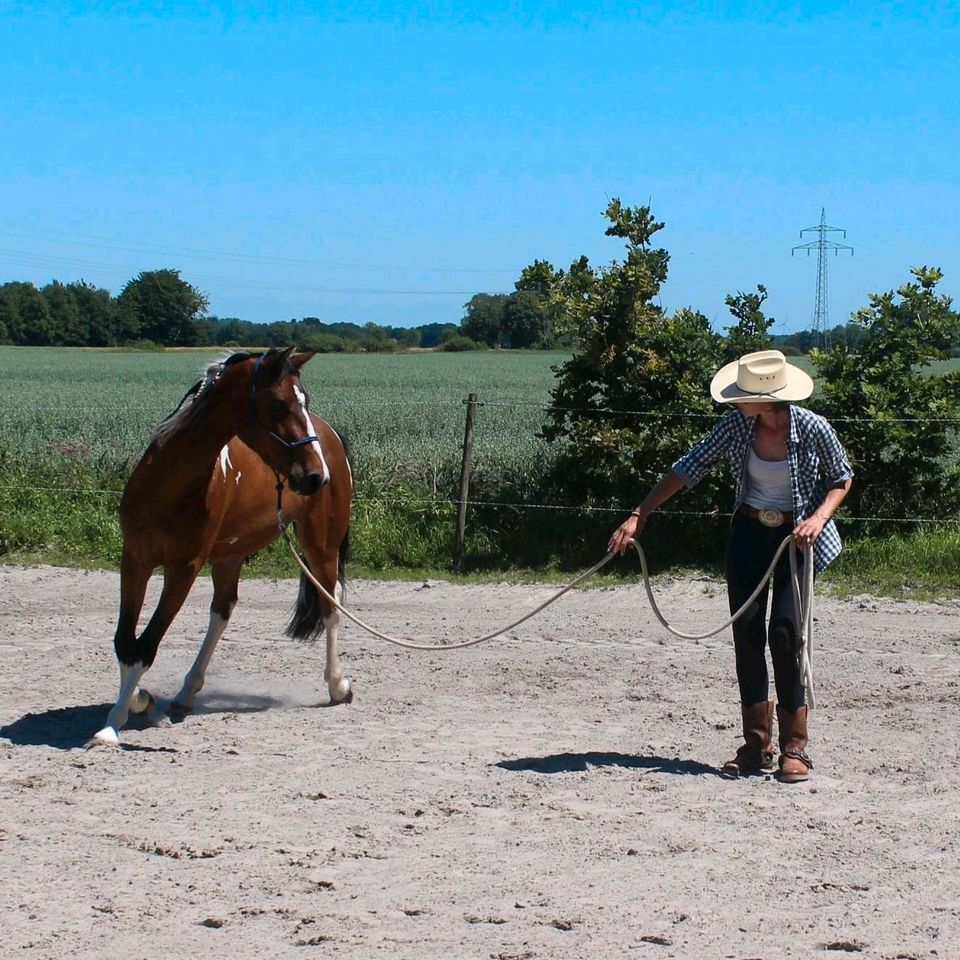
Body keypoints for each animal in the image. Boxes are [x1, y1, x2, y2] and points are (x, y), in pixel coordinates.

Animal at [89, 348, 352, 748]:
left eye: (304, 400)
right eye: (279, 403)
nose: (315, 476)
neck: (171, 482)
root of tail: (331, 435)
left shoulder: (183, 568)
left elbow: (146, 645)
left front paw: (113, 724)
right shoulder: (135, 560)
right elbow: (126, 642)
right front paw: (141, 702)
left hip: (320, 544)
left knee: (329, 602)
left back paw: (337, 685)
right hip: (230, 555)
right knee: (222, 611)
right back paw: (185, 693)